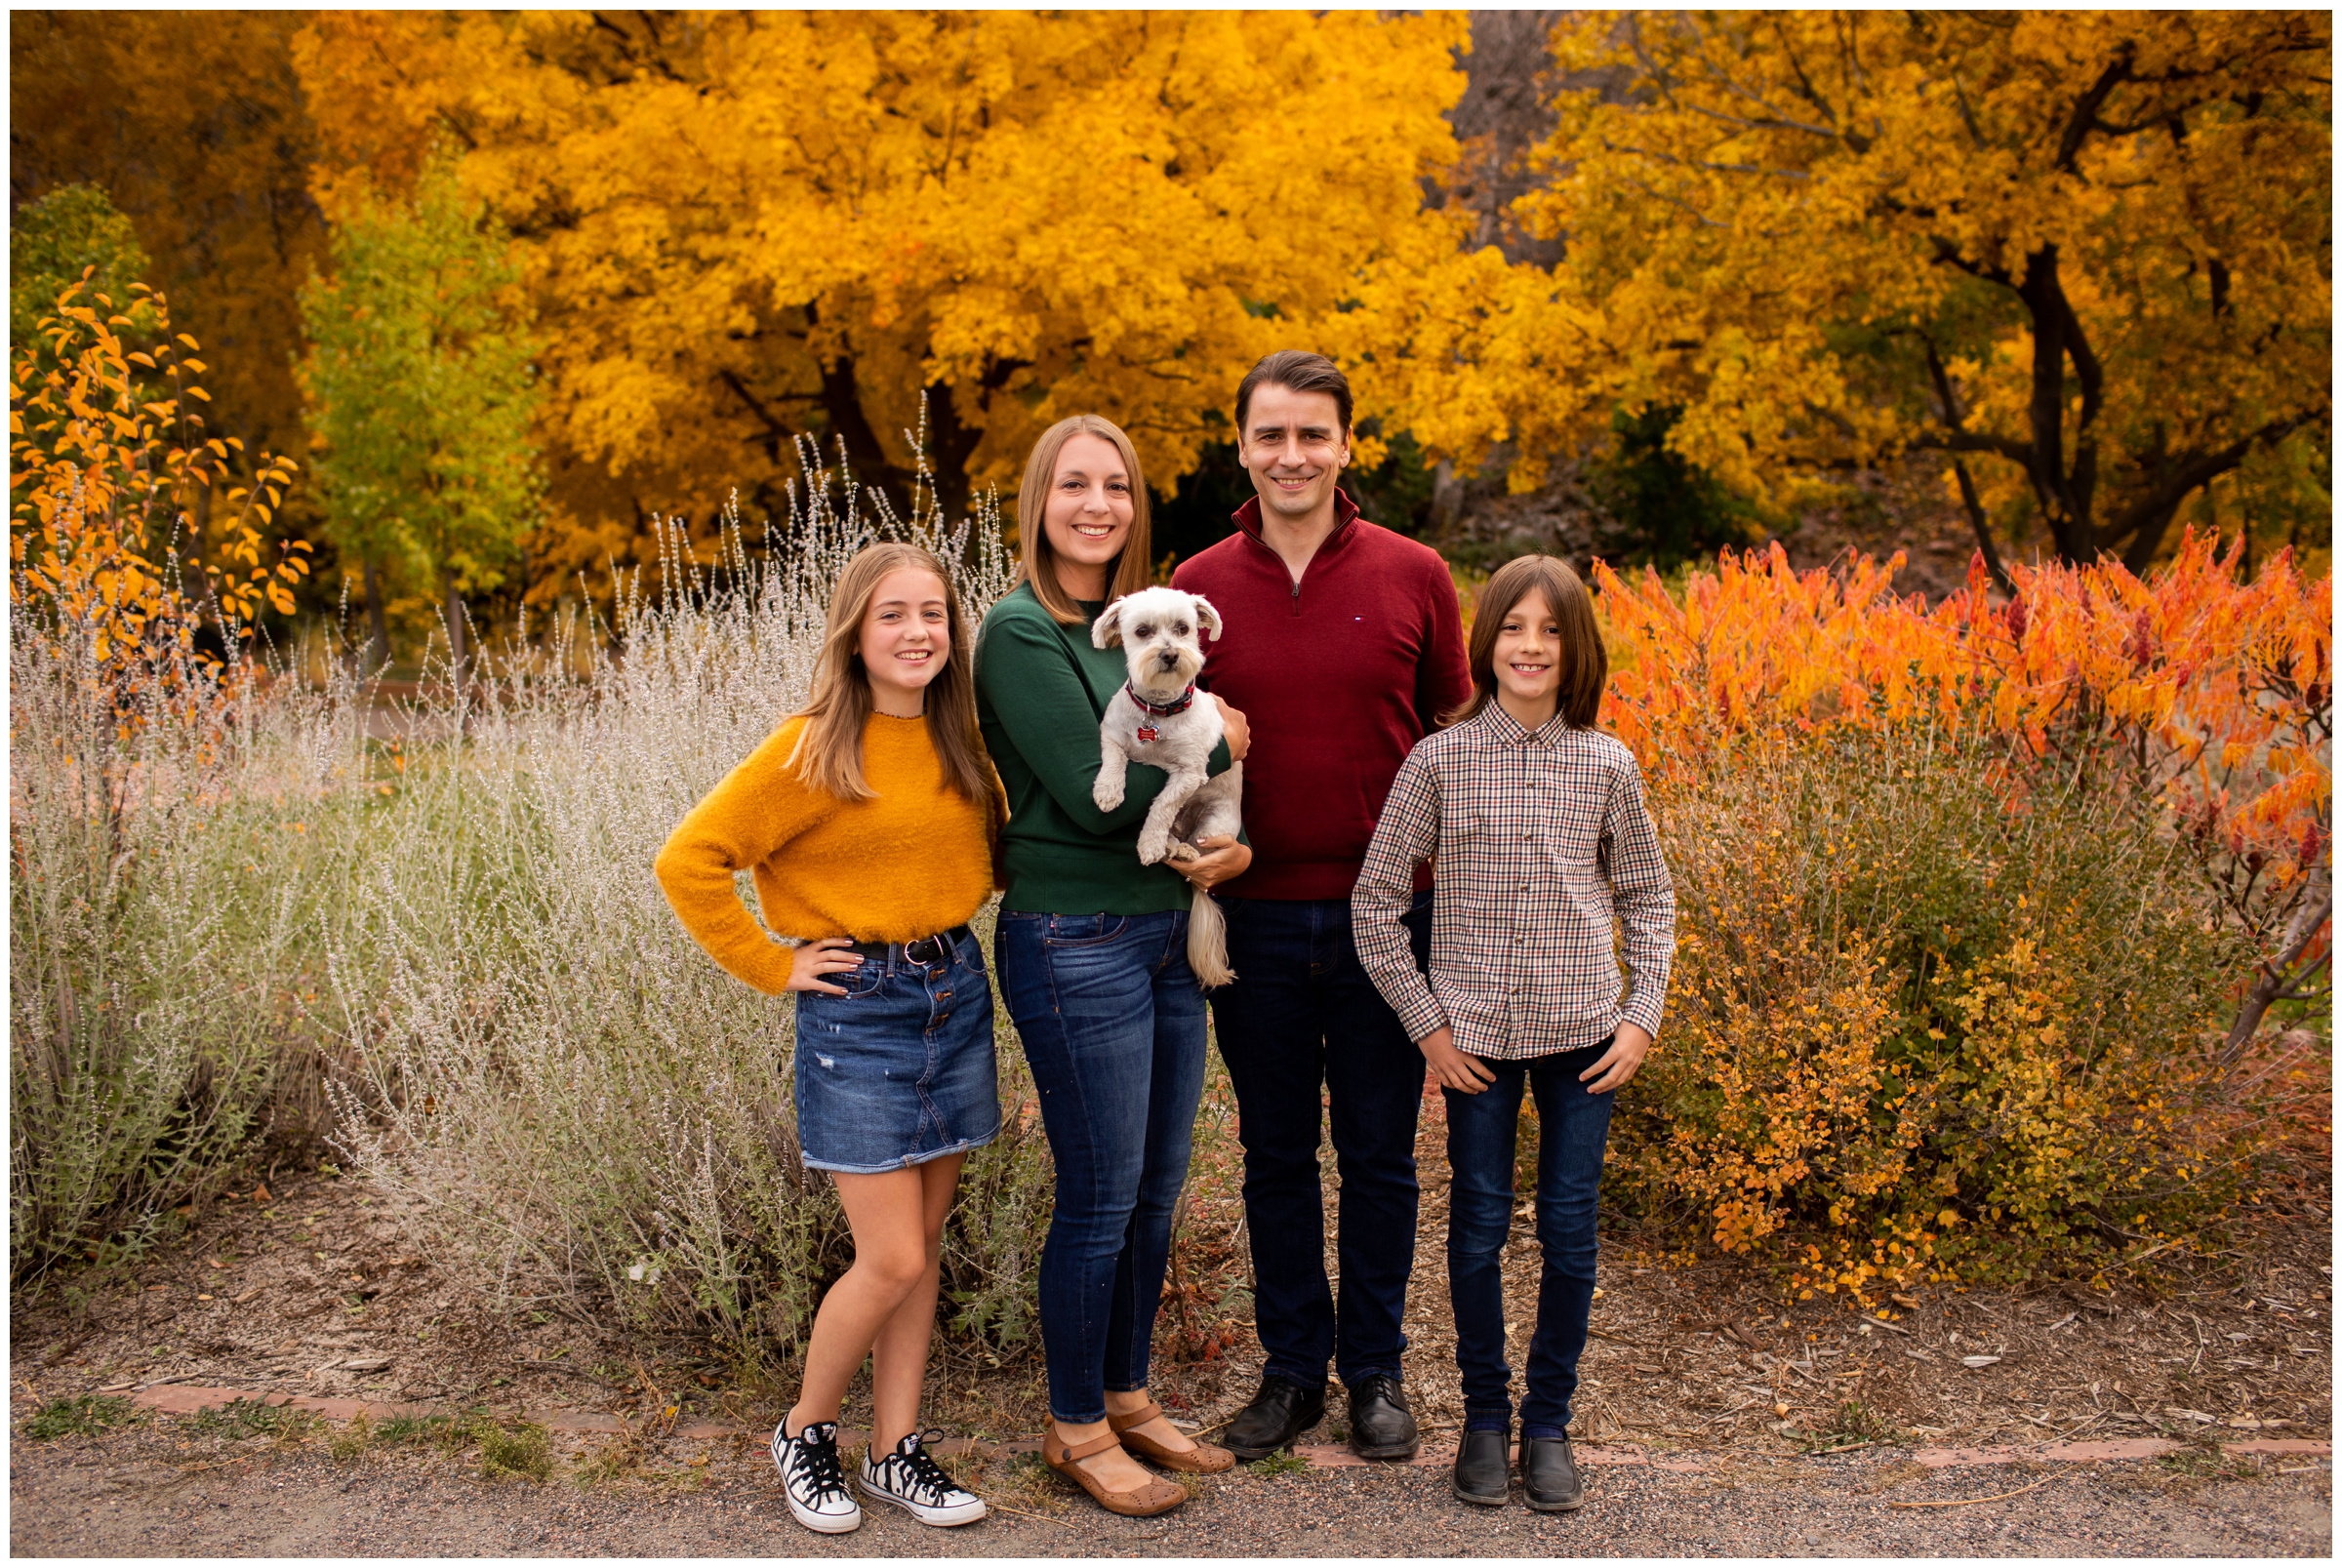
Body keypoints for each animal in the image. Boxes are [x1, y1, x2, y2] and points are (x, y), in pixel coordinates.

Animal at [1091, 583, 1245, 987]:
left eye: (1182, 629)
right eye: (1143, 631)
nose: (1171, 654)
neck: (1157, 712)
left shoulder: (1190, 773)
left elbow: (1161, 806)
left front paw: (1148, 842)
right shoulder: (1111, 734)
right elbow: (1114, 757)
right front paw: (1108, 789)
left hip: (1216, 823)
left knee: (1192, 844)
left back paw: (1184, 850)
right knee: (1173, 842)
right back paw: (1173, 847)